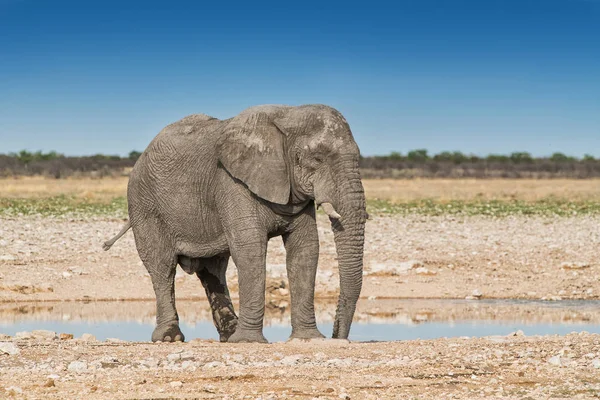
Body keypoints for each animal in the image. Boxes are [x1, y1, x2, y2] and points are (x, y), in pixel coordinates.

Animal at [103, 104, 366, 342]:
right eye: (317, 158)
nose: (338, 337)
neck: (288, 113)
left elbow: (305, 250)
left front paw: (307, 339)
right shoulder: (231, 182)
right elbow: (250, 249)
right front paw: (249, 341)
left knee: (212, 271)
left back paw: (229, 336)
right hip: (144, 203)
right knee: (163, 267)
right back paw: (170, 338)